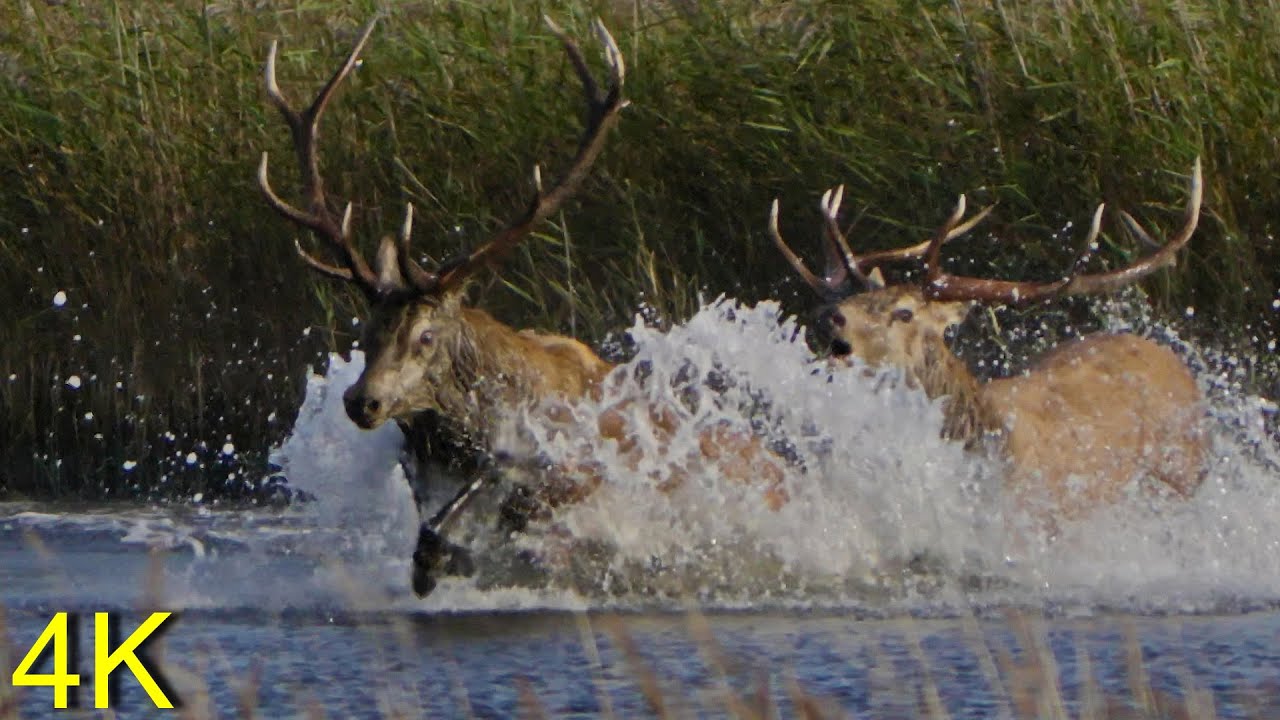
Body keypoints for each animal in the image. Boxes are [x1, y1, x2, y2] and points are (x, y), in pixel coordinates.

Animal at [257, 18, 787, 596]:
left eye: (425, 335)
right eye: (367, 333)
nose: (362, 400)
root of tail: (784, 473)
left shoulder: (569, 485)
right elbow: (434, 537)